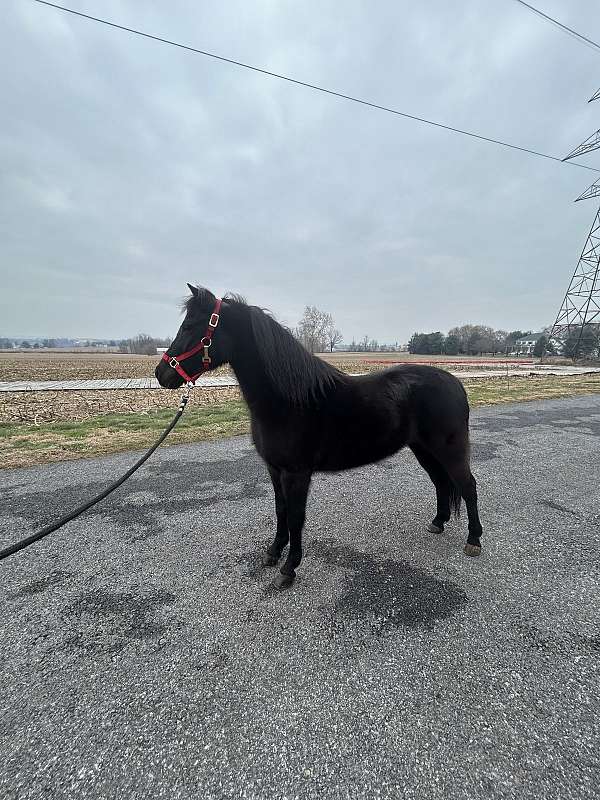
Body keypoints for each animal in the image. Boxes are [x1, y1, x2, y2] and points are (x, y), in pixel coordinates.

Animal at [156, 288, 482, 588]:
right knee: (441, 483)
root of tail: (455, 383)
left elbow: (296, 517)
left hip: (449, 449)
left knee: (467, 485)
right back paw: (438, 523)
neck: (289, 400)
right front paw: (273, 553)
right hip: (423, 449)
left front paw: (289, 569)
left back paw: (474, 540)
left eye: (190, 327)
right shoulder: (275, 469)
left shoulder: (296, 473)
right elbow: (281, 511)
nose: (161, 374)